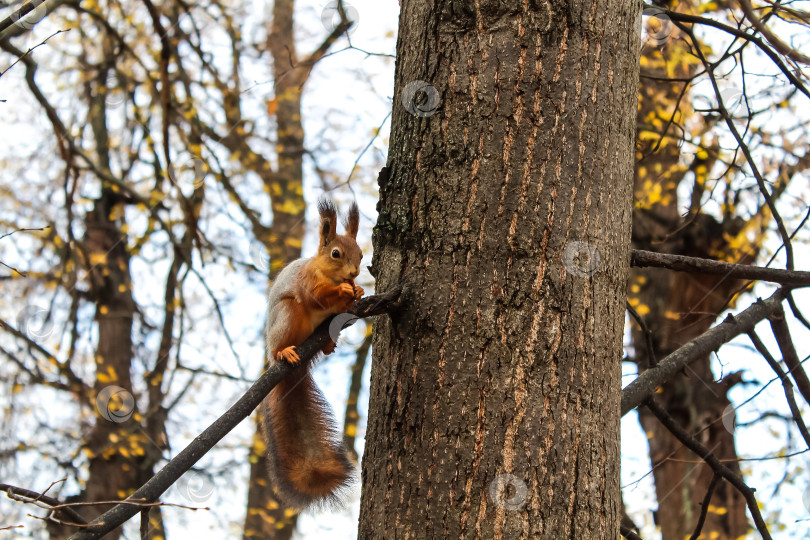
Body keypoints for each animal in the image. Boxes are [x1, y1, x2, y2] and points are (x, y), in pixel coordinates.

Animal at [258, 198, 362, 510]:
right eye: (336, 253)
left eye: (361, 253)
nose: (354, 273)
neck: (327, 274)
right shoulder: (307, 282)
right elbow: (316, 296)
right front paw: (345, 290)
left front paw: (359, 290)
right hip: (288, 316)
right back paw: (285, 352)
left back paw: (327, 346)